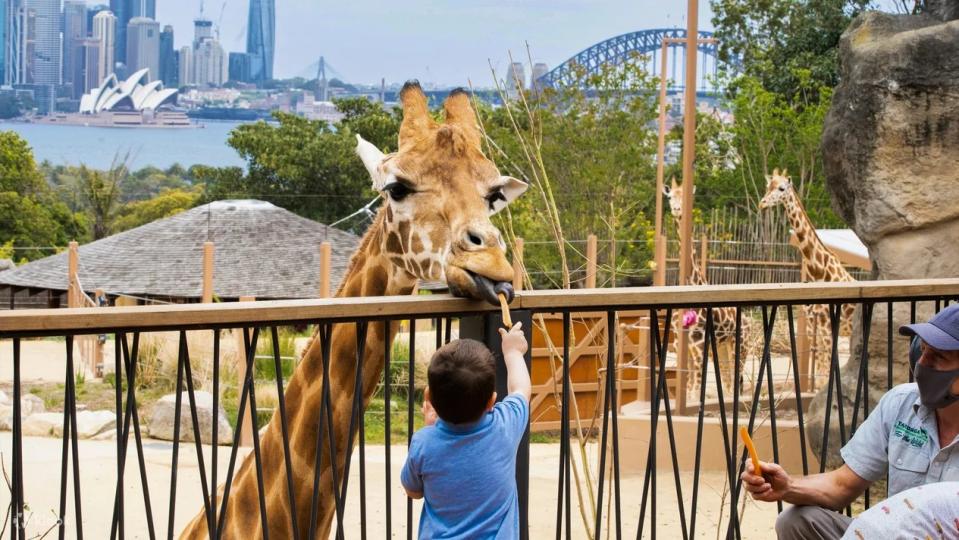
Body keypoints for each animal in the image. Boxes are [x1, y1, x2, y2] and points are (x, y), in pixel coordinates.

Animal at [664, 179, 752, 398]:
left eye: (685, 195)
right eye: (670, 196)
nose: (677, 209)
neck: (691, 282)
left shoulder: (699, 343)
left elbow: (695, 390)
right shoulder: (681, 344)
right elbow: (688, 387)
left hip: (740, 346)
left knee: (735, 384)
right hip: (720, 349)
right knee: (728, 383)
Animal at [760, 170, 860, 380]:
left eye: (782, 188)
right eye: (768, 186)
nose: (762, 203)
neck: (818, 271)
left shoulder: (827, 328)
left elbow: (826, 373)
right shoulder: (813, 328)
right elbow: (819, 374)